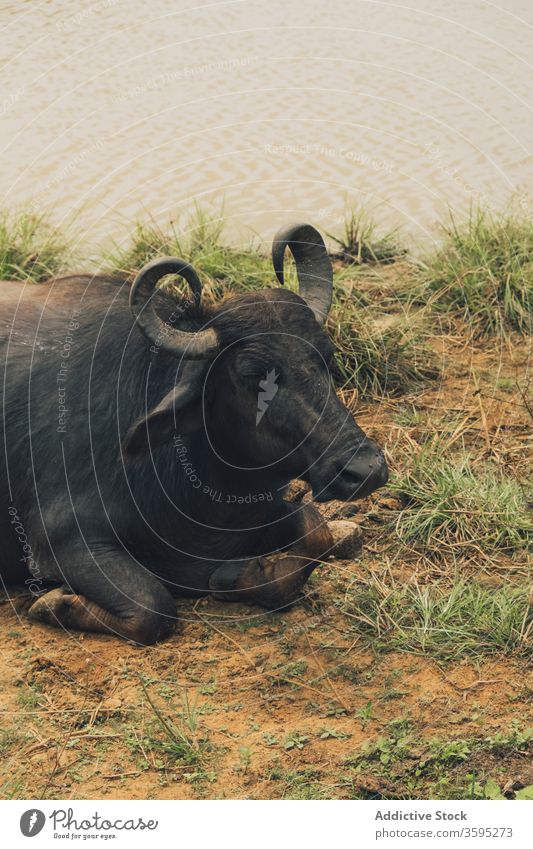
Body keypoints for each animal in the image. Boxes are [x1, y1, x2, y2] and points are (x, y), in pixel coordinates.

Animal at [1, 222, 386, 640]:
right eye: (254, 375)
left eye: (326, 357)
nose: (365, 470)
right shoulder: (62, 541)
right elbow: (153, 607)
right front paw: (55, 604)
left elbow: (316, 529)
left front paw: (235, 576)